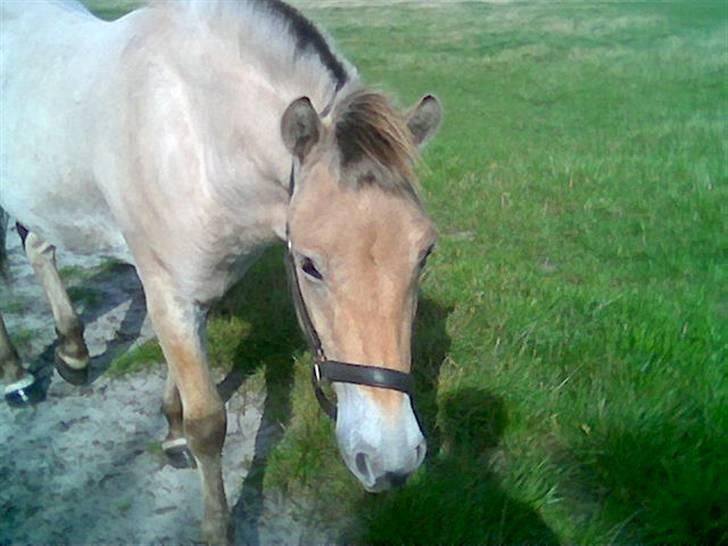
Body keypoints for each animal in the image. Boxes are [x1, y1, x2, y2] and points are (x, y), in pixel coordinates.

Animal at [0, 2, 440, 540]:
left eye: (425, 253)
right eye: (308, 264)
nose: (392, 461)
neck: (194, 133)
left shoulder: (196, 288)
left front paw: (170, 432)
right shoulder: (169, 292)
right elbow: (208, 424)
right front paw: (216, 525)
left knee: (40, 246)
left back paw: (73, 353)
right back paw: (17, 378)